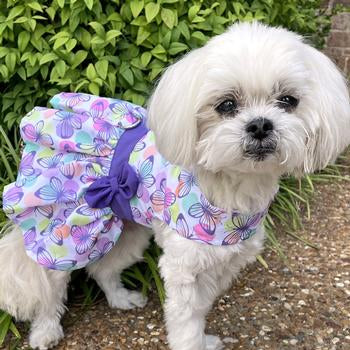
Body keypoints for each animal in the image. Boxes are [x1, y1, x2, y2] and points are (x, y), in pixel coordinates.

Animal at [0, 21, 350, 350]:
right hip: (64, 231)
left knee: (102, 269)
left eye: (288, 100)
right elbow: (185, 318)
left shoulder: (222, 263)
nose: (261, 125)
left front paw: (203, 340)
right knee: (49, 283)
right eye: (226, 105)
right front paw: (193, 343)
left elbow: (200, 310)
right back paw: (45, 331)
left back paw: (121, 299)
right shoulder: (184, 267)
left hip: (128, 230)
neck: (232, 186)